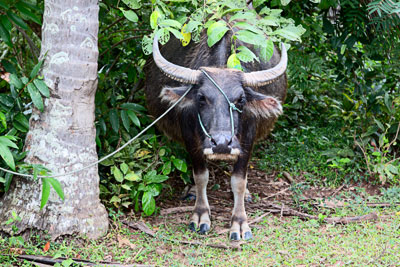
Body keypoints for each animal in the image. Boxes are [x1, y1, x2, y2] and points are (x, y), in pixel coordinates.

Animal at [145, 29, 288, 241]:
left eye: (241, 99)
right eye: (202, 98)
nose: (221, 144)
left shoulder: (247, 139)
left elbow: (239, 180)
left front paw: (239, 222)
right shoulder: (190, 137)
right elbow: (201, 176)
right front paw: (200, 215)